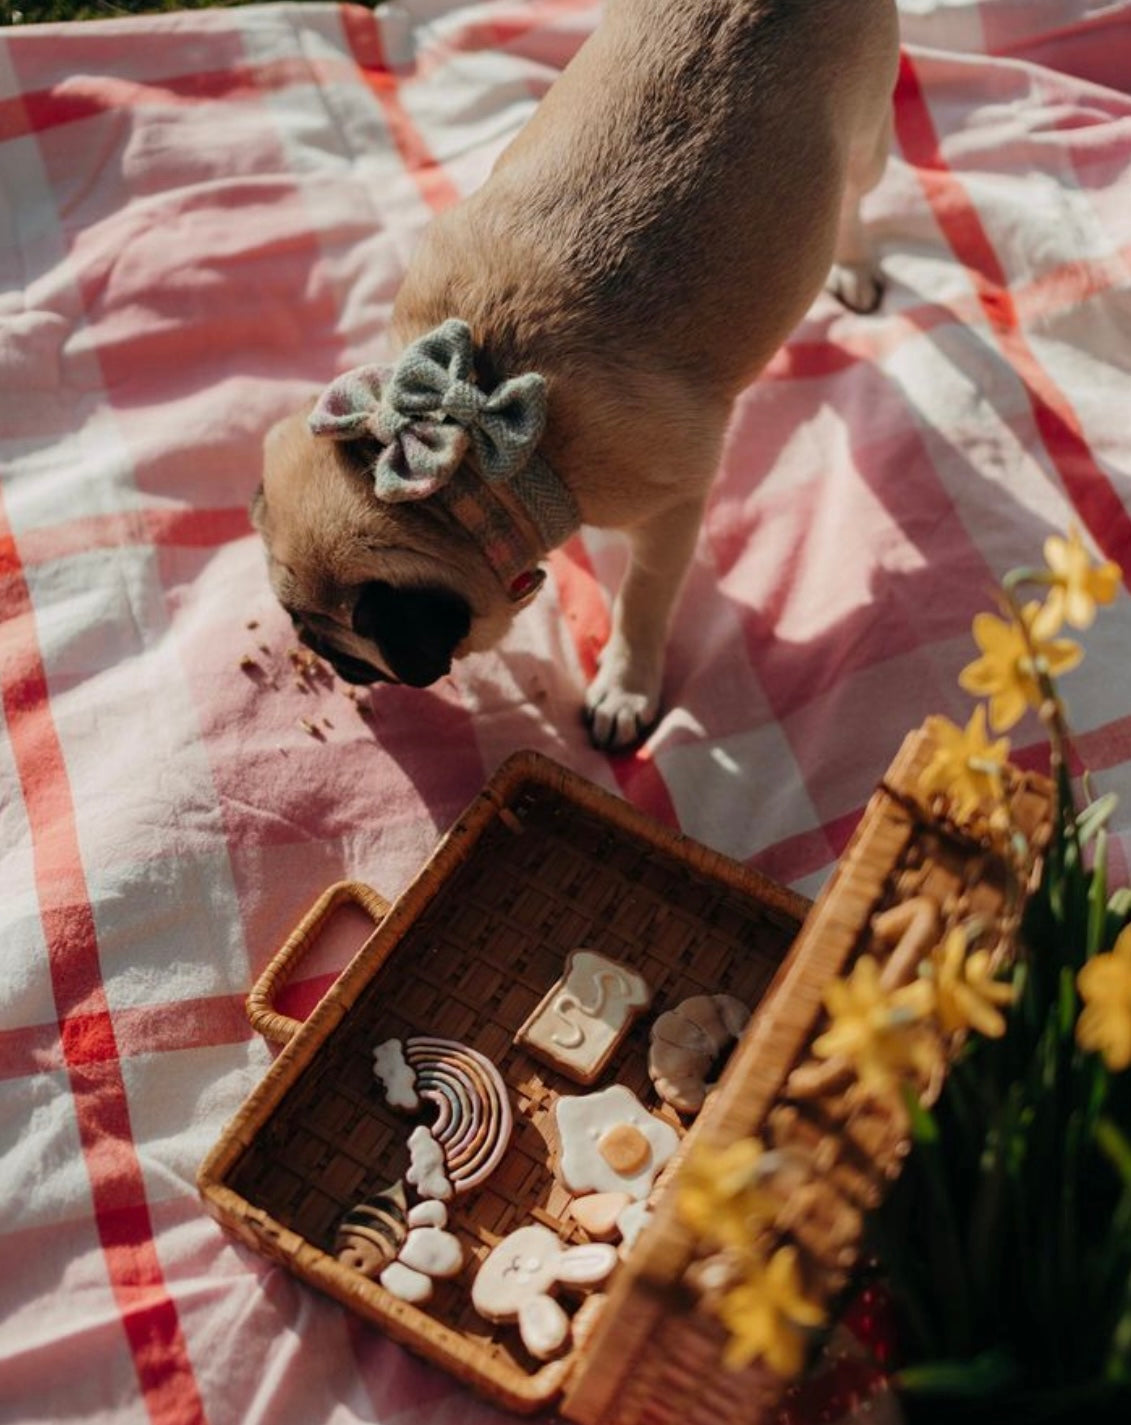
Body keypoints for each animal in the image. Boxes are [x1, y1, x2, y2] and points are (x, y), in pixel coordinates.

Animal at [250, 0, 894, 752]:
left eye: (334, 641)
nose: (317, 653)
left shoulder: (672, 510)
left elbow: (643, 597)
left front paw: (624, 685)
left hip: (868, 139)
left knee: (856, 197)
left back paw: (854, 266)